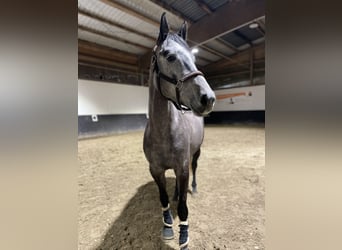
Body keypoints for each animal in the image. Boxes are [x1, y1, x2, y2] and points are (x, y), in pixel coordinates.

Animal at [143, 13, 215, 250]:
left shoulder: (183, 168)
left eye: (193, 58)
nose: (208, 98)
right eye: (169, 56)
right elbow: (163, 199)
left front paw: (184, 236)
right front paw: (167, 226)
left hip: (196, 154)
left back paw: (194, 188)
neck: (163, 132)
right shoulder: (155, 170)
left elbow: (183, 206)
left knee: (195, 169)